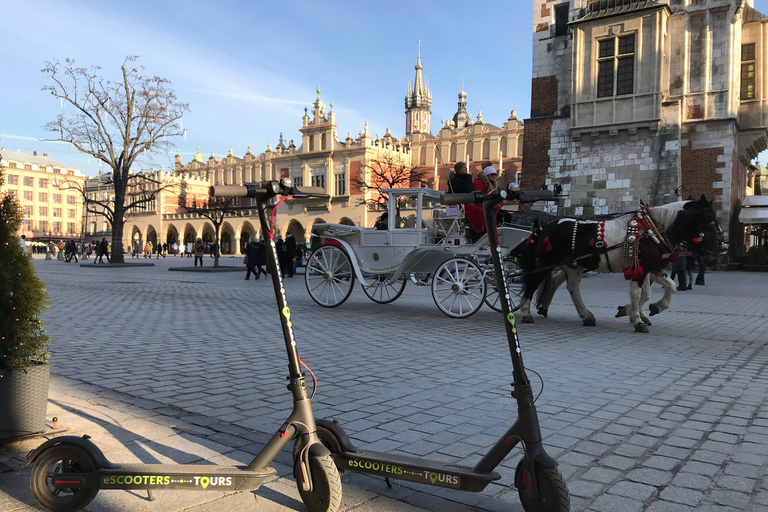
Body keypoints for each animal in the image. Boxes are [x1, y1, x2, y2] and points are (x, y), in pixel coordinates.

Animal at [512, 196, 724, 332]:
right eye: (710, 223)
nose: (715, 257)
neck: (650, 232)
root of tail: (546, 226)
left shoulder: (653, 267)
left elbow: (668, 287)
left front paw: (651, 309)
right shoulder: (641, 269)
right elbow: (638, 294)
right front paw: (637, 319)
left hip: (573, 265)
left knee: (571, 286)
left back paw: (584, 315)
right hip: (546, 262)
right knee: (533, 282)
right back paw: (526, 313)